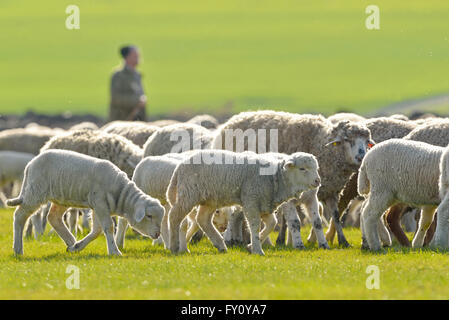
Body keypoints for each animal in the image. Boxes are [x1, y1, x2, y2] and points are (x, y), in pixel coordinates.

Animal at [6, 149, 164, 256]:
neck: (121, 194)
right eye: (149, 216)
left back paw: (71, 242)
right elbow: (108, 227)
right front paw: (115, 251)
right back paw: (18, 249)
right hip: (35, 192)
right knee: (19, 216)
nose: (157, 234)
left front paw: (78, 246)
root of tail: (30, 164)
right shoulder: (100, 203)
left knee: (53, 217)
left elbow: (97, 231)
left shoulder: (99, 206)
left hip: (61, 197)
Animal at [166, 149, 320, 256]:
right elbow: (255, 225)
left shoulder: (264, 202)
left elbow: (272, 224)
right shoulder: (251, 200)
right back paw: (174, 246)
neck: (274, 178)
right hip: (189, 194)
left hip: (210, 199)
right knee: (174, 216)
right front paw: (258, 250)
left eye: (316, 168)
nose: (317, 181)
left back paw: (220, 245)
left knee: (202, 219)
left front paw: (250, 246)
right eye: (302, 169)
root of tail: (179, 166)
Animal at [212, 110, 372, 248]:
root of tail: (232, 120)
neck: (322, 145)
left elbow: (336, 216)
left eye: (366, 141)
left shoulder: (331, 191)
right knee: (233, 212)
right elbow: (290, 219)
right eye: (347, 139)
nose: (361, 156)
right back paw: (233, 238)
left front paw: (343, 240)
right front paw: (284, 240)